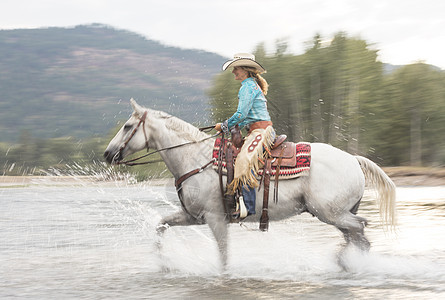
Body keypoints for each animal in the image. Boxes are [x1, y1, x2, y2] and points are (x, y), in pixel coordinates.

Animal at [104, 98, 396, 270]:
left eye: (128, 126)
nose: (108, 153)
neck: (195, 158)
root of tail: (353, 159)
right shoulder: (193, 216)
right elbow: (161, 225)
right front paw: (162, 262)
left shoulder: (215, 218)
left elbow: (223, 256)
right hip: (336, 214)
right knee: (357, 235)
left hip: (331, 213)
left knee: (360, 231)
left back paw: (347, 263)